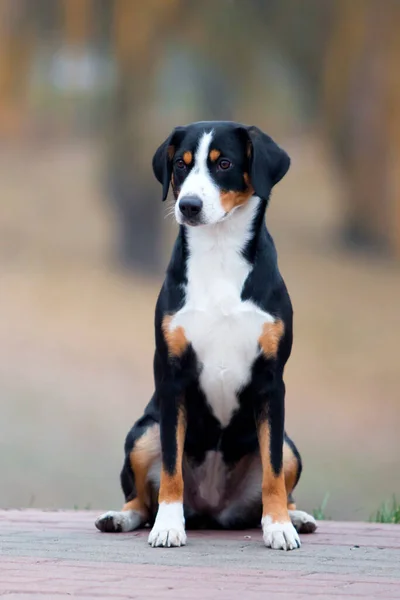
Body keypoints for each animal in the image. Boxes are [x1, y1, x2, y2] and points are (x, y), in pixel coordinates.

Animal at [95, 120, 318, 548]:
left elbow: (273, 472)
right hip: (143, 431)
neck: (219, 254)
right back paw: (121, 517)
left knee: (281, 477)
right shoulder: (173, 379)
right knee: (140, 499)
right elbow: (170, 469)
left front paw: (279, 526)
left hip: (290, 444)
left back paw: (296, 517)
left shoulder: (271, 382)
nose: (189, 206)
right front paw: (168, 525)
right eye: (181, 165)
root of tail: (214, 511)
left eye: (224, 163)